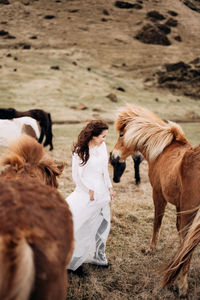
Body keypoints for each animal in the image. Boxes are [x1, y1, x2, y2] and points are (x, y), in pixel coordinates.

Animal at [110, 104, 200, 296]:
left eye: (121, 134)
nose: (113, 156)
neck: (162, 150)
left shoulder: (158, 195)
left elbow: (157, 222)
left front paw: (151, 249)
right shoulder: (180, 207)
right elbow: (180, 236)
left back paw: (182, 286)